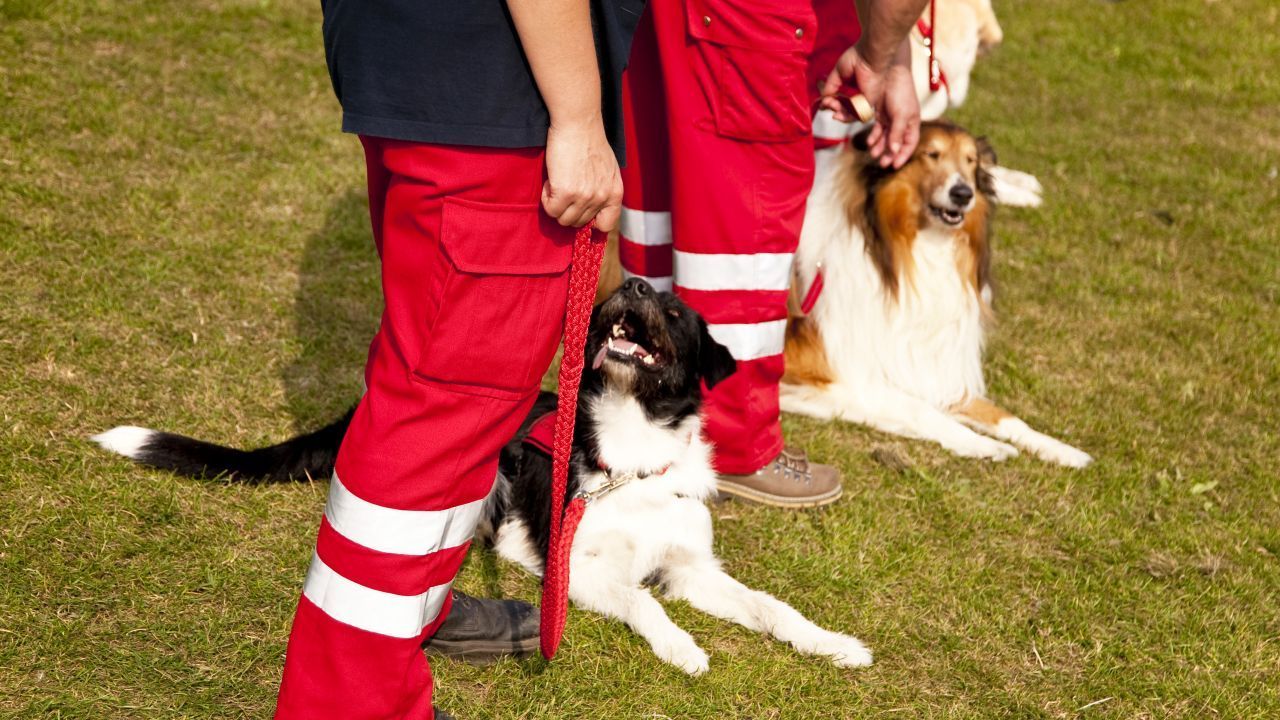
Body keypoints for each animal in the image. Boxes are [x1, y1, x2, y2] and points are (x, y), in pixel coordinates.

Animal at [94, 278, 875, 671]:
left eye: (676, 309)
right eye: (634, 290)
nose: (633, 280)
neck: (630, 456)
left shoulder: (689, 570)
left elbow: (773, 608)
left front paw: (834, 644)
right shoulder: (575, 569)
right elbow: (644, 603)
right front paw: (683, 648)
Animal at [778, 122, 1090, 466]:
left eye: (970, 161)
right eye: (931, 154)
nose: (963, 194)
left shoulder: (926, 367)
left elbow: (1005, 417)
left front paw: (1062, 449)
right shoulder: (830, 374)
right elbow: (920, 409)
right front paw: (983, 444)